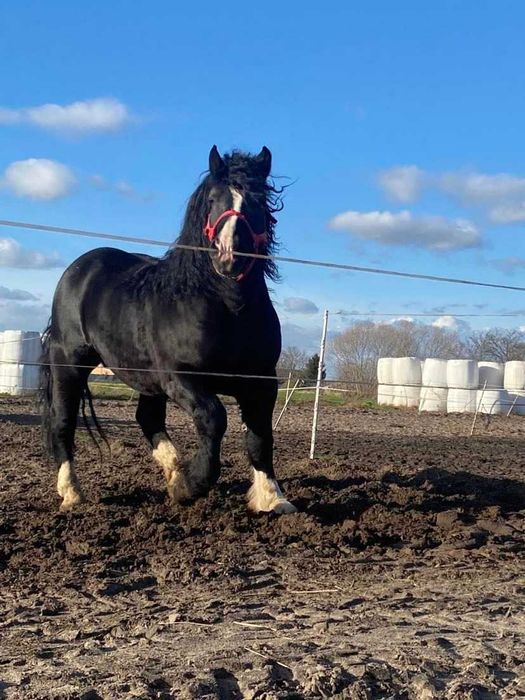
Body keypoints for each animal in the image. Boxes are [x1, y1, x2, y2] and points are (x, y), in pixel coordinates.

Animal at [38, 146, 294, 516]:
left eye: (258, 201)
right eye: (213, 199)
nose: (229, 257)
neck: (227, 307)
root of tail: (80, 268)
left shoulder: (261, 381)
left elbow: (260, 436)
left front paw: (272, 498)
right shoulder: (181, 378)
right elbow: (214, 419)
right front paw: (194, 485)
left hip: (145, 378)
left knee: (147, 418)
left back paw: (173, 476)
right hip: (69, 364)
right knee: (63, 422)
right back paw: (72, 494)